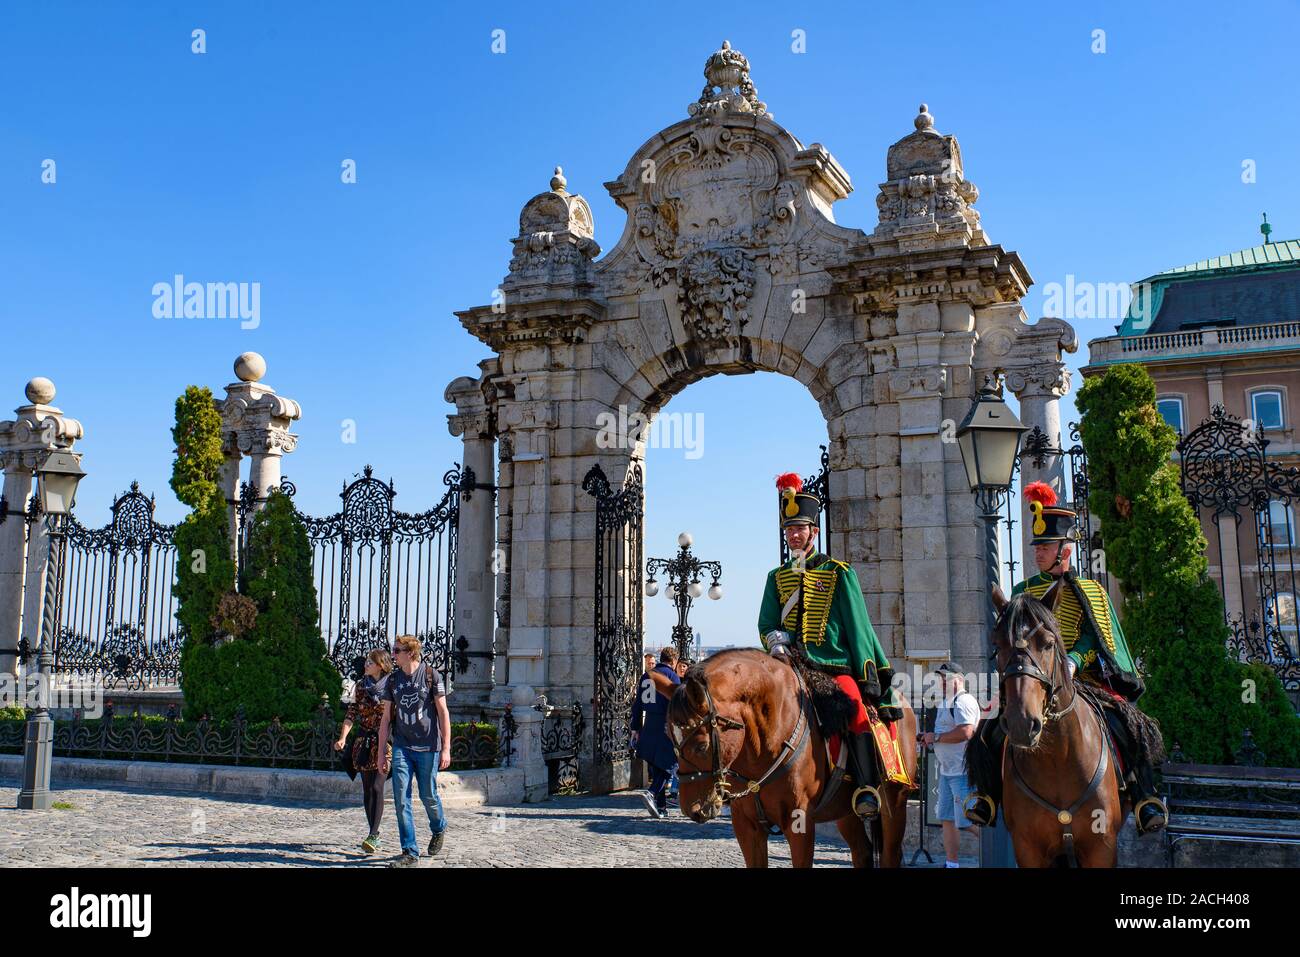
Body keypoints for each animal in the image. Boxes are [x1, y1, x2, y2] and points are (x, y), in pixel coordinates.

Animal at [660, 650, 915, 868]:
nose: (693, 810)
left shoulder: (799, 823)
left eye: (702, 746)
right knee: (862, 852)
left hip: (894, 803)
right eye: (670, 738)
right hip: (845, 811)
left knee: (891, 855)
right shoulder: (746, 826)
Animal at [993, 582, 1128, 868]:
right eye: (997, 644)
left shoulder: (1102, 847)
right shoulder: (1028, 848)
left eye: (1049, 644)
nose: (1022, 722)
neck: (1058, 759)